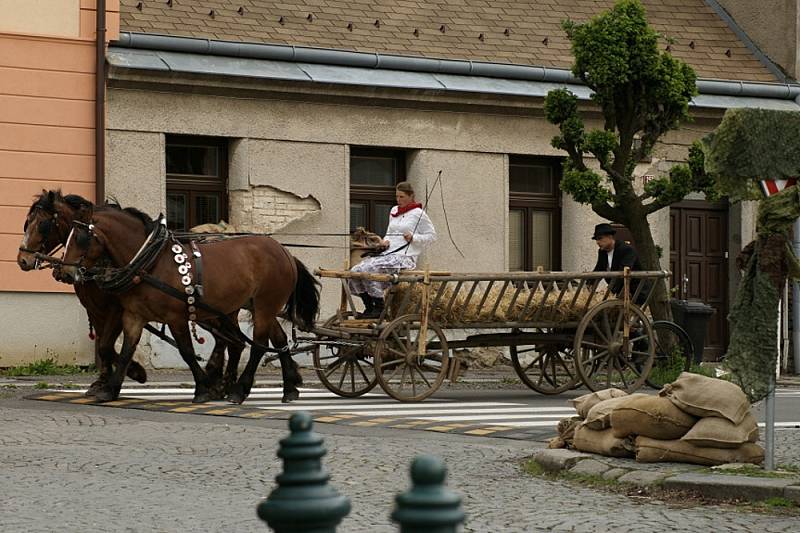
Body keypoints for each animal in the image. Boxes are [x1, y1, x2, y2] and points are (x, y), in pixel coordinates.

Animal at [56, 202, 320, 402]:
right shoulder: (133, 316)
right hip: (259, 306)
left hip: (265, 305)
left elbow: (186, 351)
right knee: (278, 340)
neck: (150, 263)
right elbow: (125, 350)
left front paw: (203, 389)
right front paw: (112, 388)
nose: (65, 272)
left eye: (80, 238)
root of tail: (283, 250)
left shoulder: (176, 317)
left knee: (257, 345)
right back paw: (289, 388)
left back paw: (239, 389)